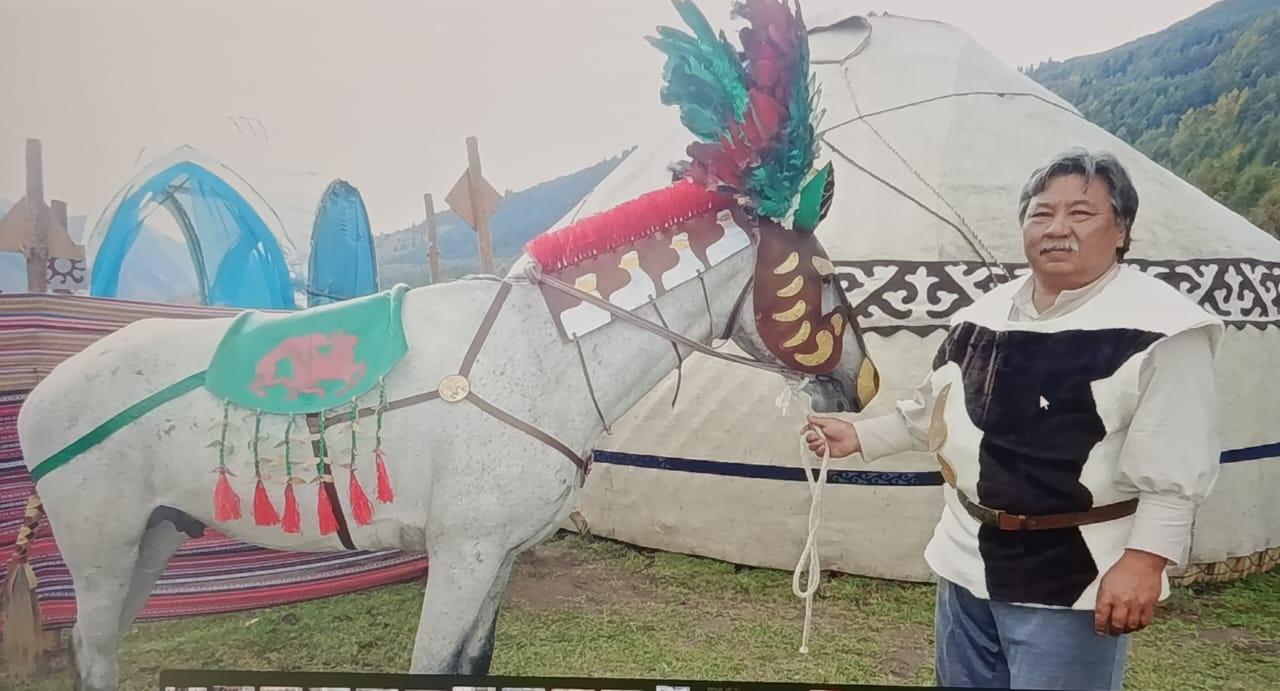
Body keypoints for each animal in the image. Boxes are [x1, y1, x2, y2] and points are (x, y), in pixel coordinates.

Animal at [14, 181, 881, 691]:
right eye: (826, 277)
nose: (865, 384)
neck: (538, 354)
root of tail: (41, 394)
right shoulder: (461, 554)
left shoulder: (495, 556)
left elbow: (473, 663)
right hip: (102, 549)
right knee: (96, 647)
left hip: (154, 536)